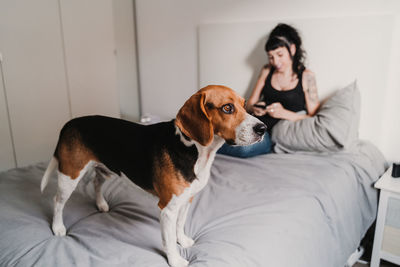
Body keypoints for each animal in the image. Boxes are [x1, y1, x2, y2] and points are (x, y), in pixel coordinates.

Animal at [40, 85, 266, 266]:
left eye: (245, 105)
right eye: (227, 108)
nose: (262, 128)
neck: (195, 150)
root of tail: (69, 123)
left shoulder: (186, 200)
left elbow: (180, 225)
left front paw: (183, 240)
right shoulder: (167, 209)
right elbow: (168, 240)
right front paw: (175, 260)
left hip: (104, 170)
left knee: (96, 182)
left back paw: (101, 204)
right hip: (69, 175)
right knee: (57, 201)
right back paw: (58, 227)